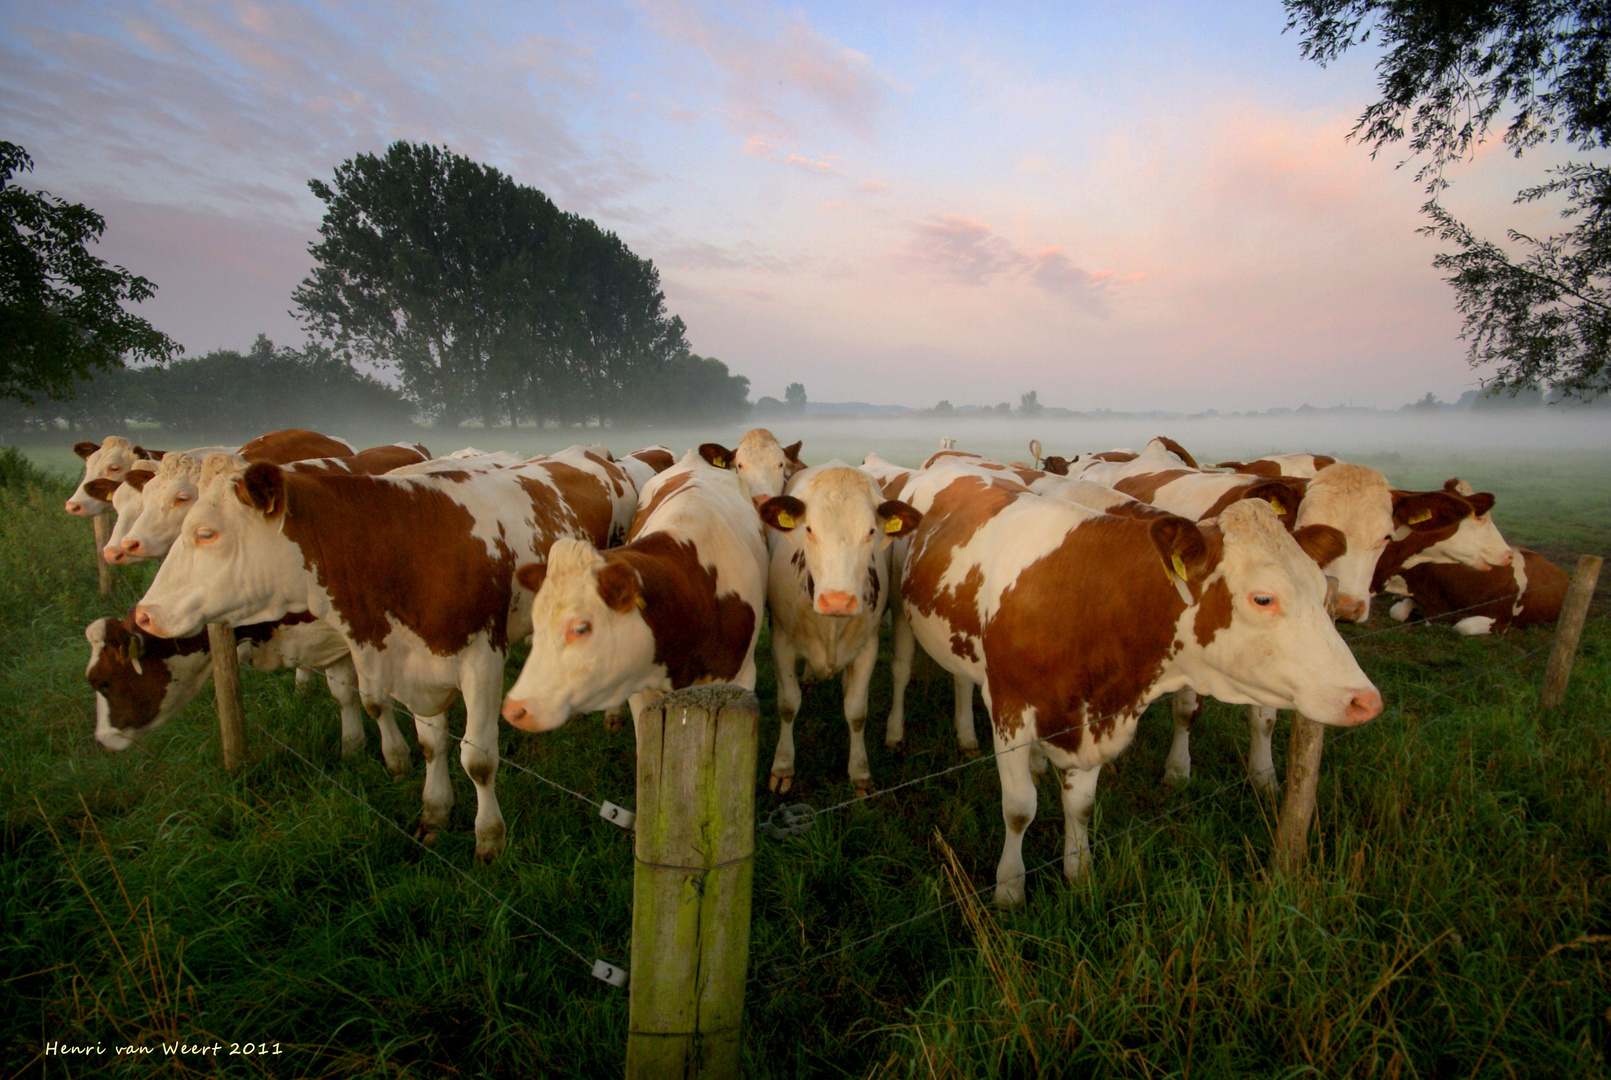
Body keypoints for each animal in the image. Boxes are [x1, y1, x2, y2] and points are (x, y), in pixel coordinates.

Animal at [82, 612, 412, 773]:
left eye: (102, 682)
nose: (101, 739)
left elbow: (375, 703)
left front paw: (397, 759)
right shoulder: (326, 640)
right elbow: (343, 694)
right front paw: (352, 749)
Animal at [132, 448, 625, 864]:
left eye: (205, 533)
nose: (144, 614)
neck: (401, 547)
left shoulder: (482, 660)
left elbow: (477, 758)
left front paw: (489, 840)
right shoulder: (412, 663)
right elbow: (430, 744)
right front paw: (434, 812)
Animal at [753, 464, 921, 796]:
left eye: (871, 531)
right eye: (808, 529)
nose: (837, 600)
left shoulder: (868, 647)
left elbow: (856, 711)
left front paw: (860, 772)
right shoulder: (781, 641)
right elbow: (788, 704)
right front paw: (783, 766)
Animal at [902, 464, 1379, 902]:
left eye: (1321, 587)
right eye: (1263, 598)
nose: (1366, 700)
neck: (1086, 597)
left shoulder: (1094, 714)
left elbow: (1081, 806)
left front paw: (1080, 873)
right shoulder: (1010, 709)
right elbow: (1020, 809)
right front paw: (1009, 890)